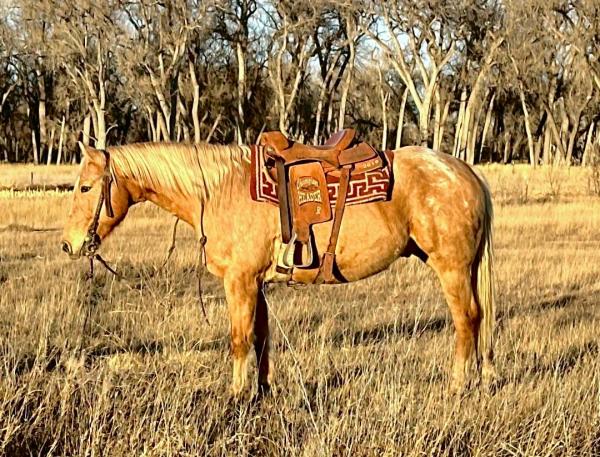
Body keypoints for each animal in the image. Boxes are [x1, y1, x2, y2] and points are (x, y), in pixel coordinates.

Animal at [61, 141, 496, 396]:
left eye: (85, 187)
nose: (70, 244)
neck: (219, 191)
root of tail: (465, 171)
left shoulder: (239, 282)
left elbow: (239, 339)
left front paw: (237, 396)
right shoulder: (257, 283)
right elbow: (261, 337)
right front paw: (263, 391)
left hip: (452, 269)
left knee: (466, 320)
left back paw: (458, 386)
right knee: (478, 320)